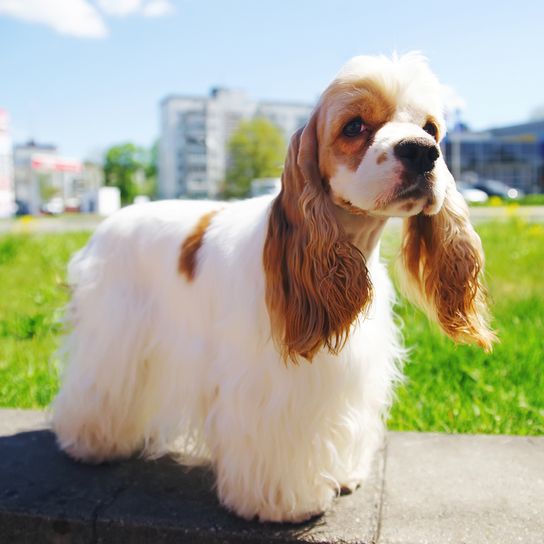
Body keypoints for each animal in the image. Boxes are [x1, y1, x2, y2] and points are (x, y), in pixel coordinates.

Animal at [53, 52, 496, 524]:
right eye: (354, 126)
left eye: (431, 129)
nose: (423, 151)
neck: (350, 247)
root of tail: (107, 224)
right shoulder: (270, 387)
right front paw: (285, 504)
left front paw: (343, 474)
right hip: (115, 334)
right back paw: (90, 441)